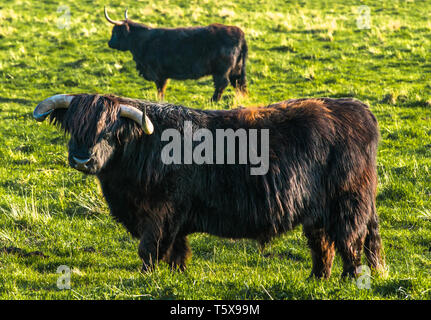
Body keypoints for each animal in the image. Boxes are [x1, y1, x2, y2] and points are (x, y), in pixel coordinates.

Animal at [33, 94, 384, 278]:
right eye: (72, 126)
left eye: (109, 131)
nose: (82, 157)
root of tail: (355, 107)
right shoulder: (173, 219)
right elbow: (176, 249)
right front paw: (176, 276)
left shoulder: (160, 213)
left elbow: (149, 248)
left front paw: (147, 276)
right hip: (317, 213)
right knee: (323, 245)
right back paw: (316, 279)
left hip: (348, 205)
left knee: (350, 243)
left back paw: (347, 280)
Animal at [104, 7, 250, 101]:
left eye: (115, 32)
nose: (109, 43)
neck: (143, 41)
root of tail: (239, 33)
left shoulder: (158, 74)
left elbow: (160, 90)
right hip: (236, 69)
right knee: (239, 83)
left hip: (221, 71)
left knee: (222, 84)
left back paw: (213, 101)